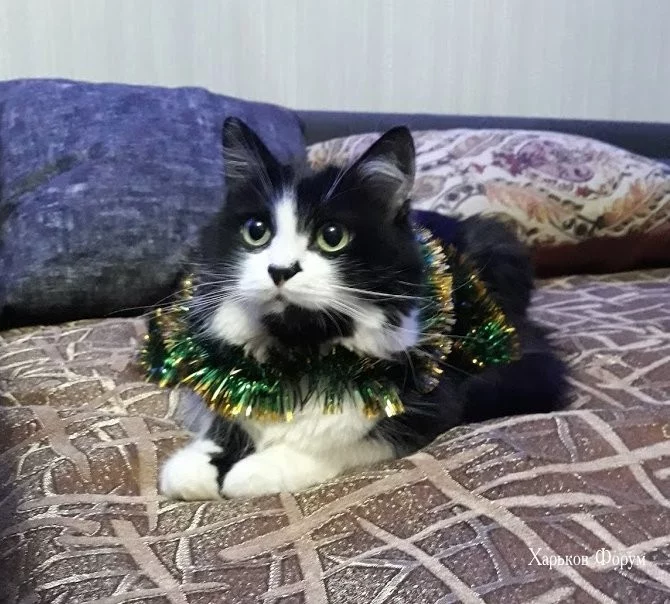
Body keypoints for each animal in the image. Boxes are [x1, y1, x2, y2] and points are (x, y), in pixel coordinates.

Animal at [159, 118, 568, 500]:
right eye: (256, 231)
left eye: (332, 237)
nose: (280, 270)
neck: (298, 351)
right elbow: (225, 408)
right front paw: (198, 462)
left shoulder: (451, 391)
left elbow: (351, 433)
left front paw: (264, 466)